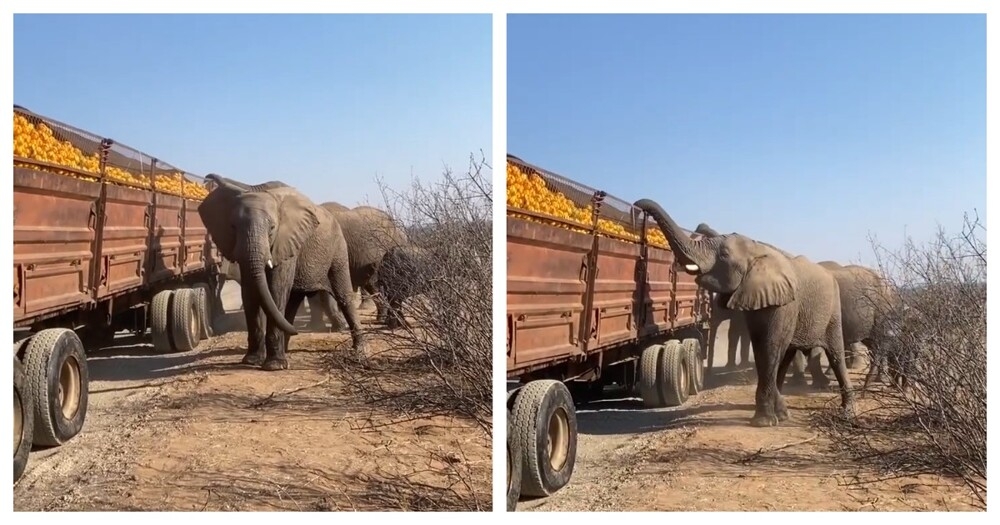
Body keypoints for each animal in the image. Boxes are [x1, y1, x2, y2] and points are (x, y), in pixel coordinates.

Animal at [197, 173, 366, 368]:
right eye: (233, 227)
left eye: (272, 228)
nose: (207, 177)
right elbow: (250, 291)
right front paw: (252, 361)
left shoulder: (287, 241)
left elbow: (276, 288)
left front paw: (273, 366)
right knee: (292, 301)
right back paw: (285, 347)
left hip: (337, 248)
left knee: (342, 294)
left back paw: (359, 351)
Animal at [636, 199, 856, 424]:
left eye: (724, 255)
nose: (638, 204)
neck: (758, 249)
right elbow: (761, 347)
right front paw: (774, 416)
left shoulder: (784, 303)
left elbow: (770, 347)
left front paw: (763, 422)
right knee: (787, 354)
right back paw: (785, 412)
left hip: (833, 311)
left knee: (835, 354)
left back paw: (847, 412)